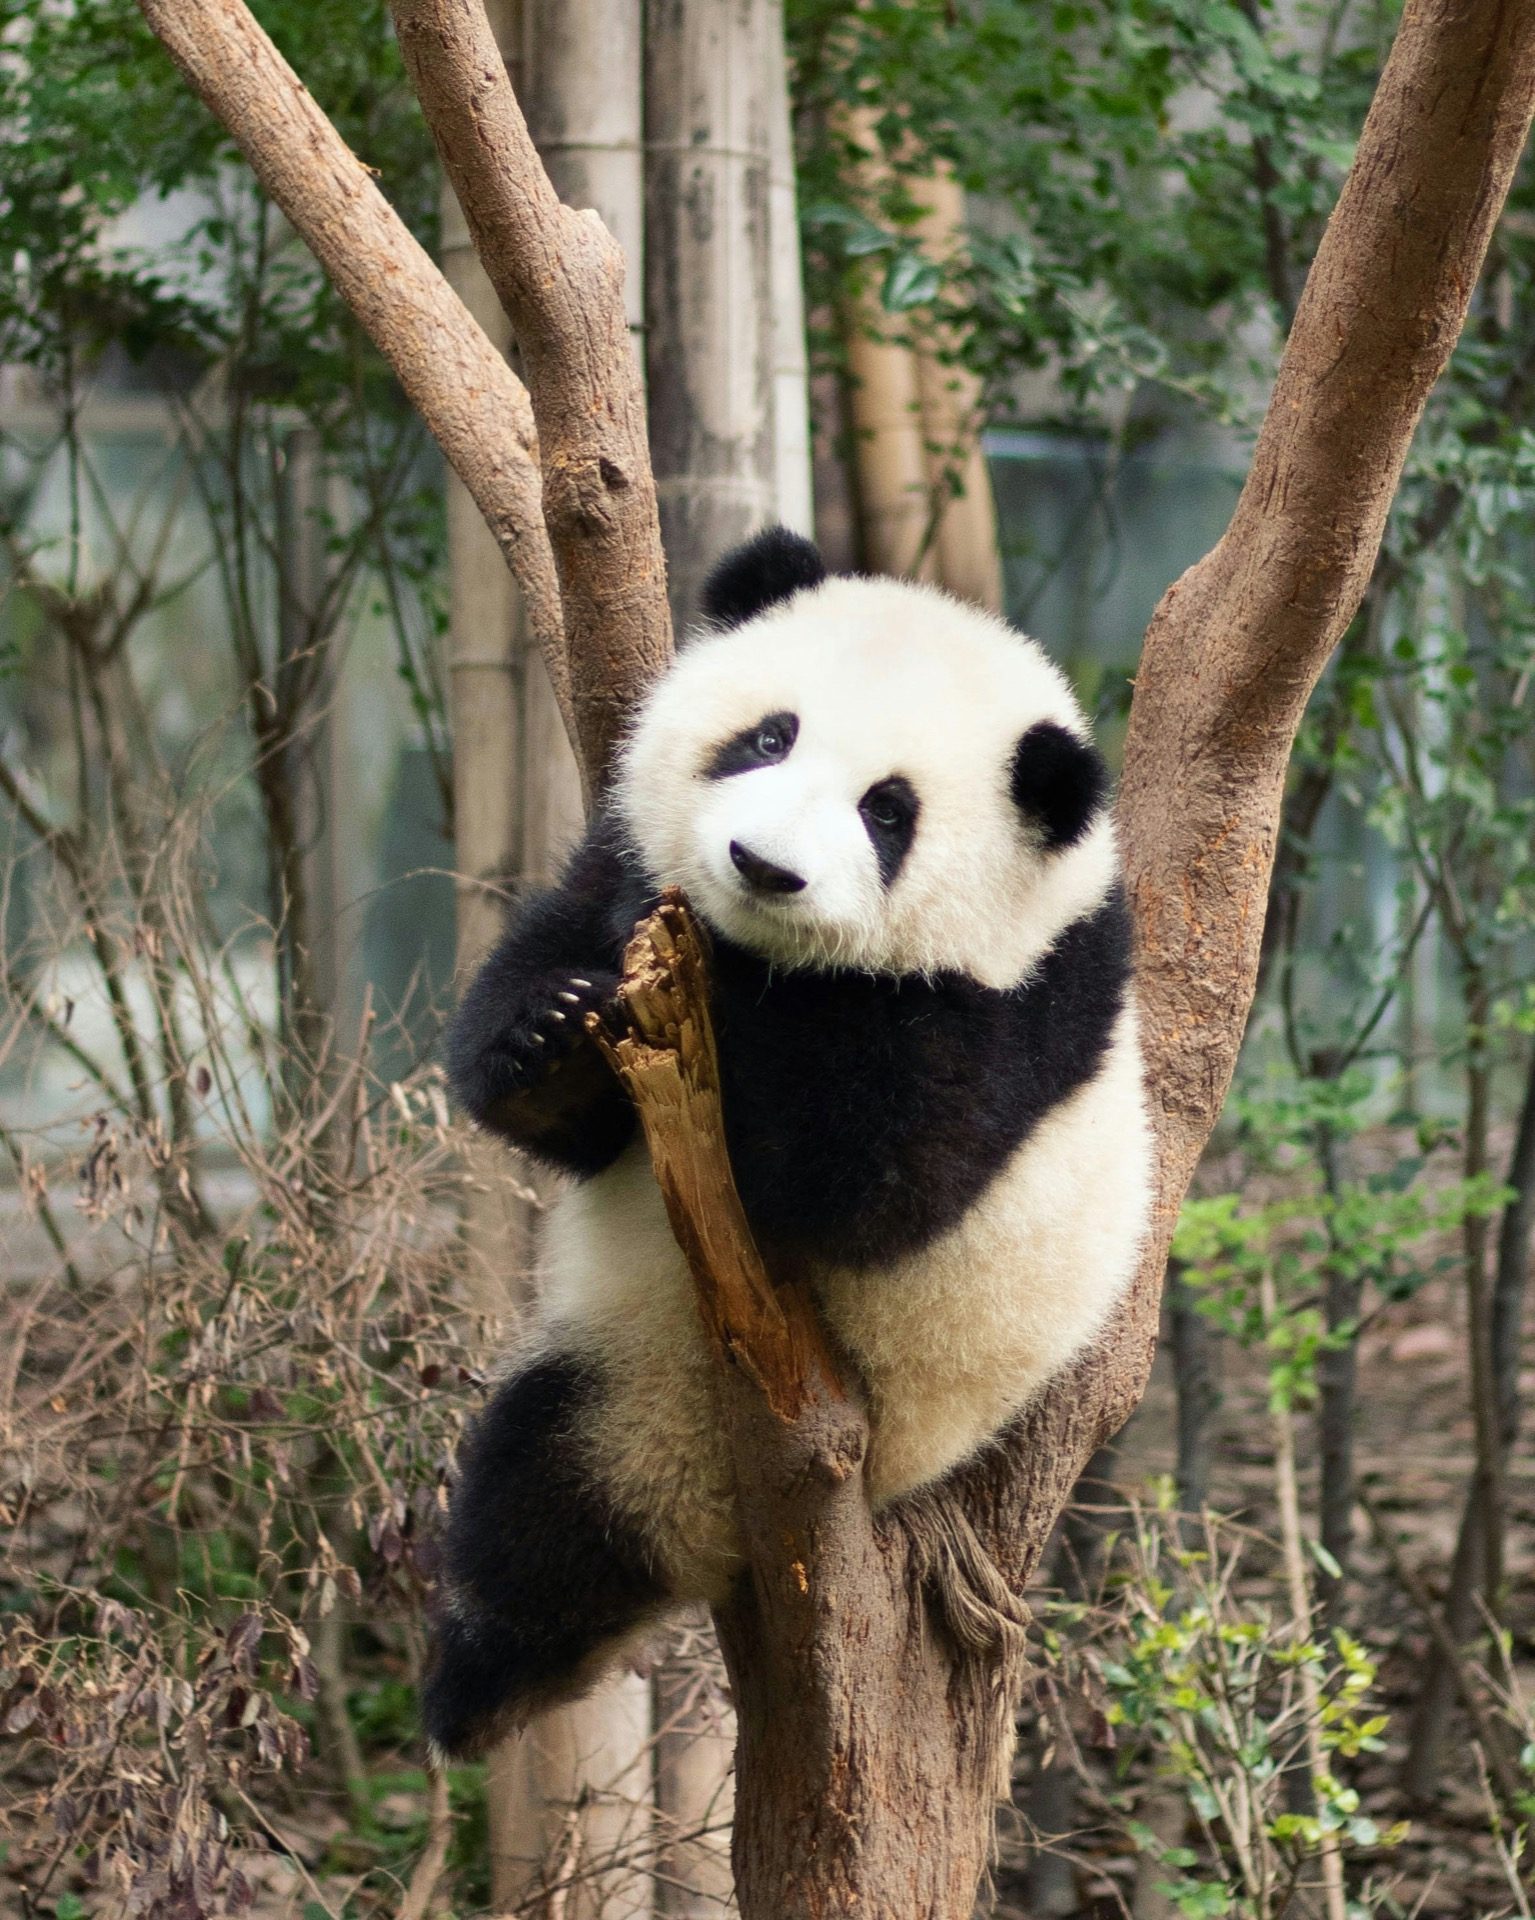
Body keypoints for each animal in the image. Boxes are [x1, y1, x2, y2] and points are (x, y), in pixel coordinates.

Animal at [425, 527, 1152, 1757]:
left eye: (887, 812)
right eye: (769, 736)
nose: (760, 866)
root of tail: (708, 1519)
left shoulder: (1005, 1006)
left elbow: (871, 1182)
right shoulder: (621, 858)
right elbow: (557, 1047)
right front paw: (552, 1030)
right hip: (621, 1376)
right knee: (532, 1516)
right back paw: (481, 1690)